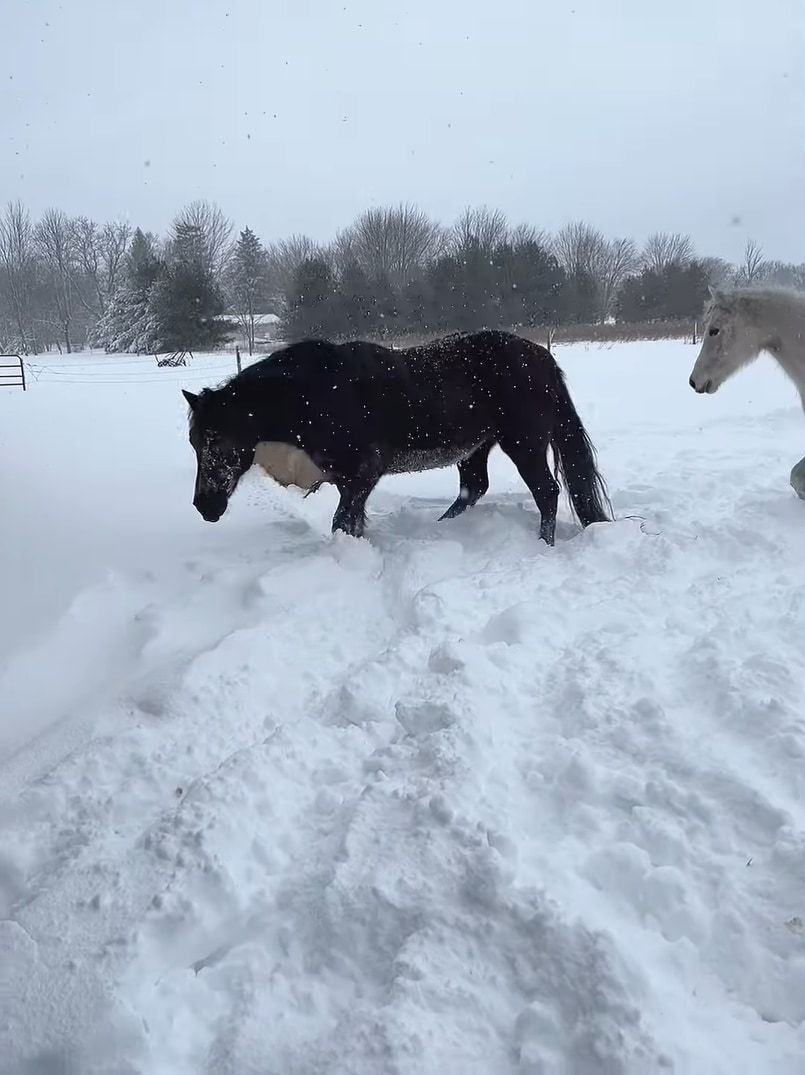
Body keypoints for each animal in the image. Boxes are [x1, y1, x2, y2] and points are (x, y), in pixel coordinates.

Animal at [181, 326, 610, 546]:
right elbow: (351, 522)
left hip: (523, 444)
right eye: (194, 443)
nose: (205, 506)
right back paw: (443, 529)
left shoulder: (364, 472)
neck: (316, 394)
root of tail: (541, 357)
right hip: (475, 447)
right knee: (473, 488)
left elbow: (342, 522)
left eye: (218, 441)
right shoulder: (347, 479)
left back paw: (542, 545)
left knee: (547, 492)